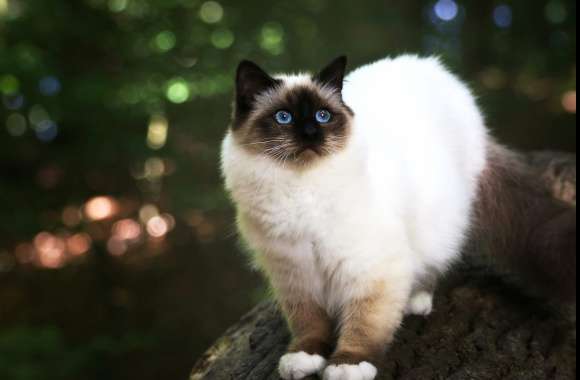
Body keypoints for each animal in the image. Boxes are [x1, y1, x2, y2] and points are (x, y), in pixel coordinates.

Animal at [221, 54, 576, 380]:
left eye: (323, 116)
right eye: (283, 117)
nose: (310, 134)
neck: (301, 189)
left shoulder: (371, 269)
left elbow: (364, 324)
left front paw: (347, 365)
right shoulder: (295, 274)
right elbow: (309, 323)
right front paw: (305, 358)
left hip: (436, 224)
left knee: (431, 265)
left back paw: (415, 300)